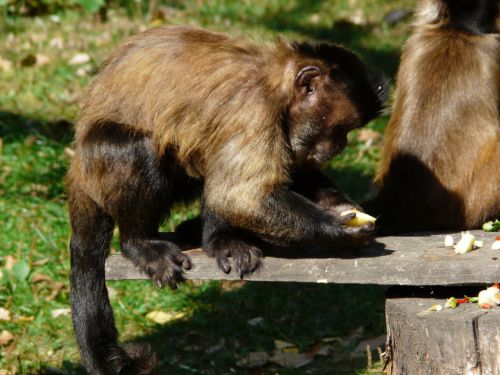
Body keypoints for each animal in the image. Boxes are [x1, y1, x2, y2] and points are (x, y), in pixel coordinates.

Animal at [66, 25, 386, 374]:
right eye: (340, 129)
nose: (340, 146)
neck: (275, 81)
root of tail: (78, 168)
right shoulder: (255, 109)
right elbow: (239, 196)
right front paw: (341, 231)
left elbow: (289, 169)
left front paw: (341, 207)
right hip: (100, 169)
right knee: (145, 148)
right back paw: (141, 243)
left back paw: (209, 236)